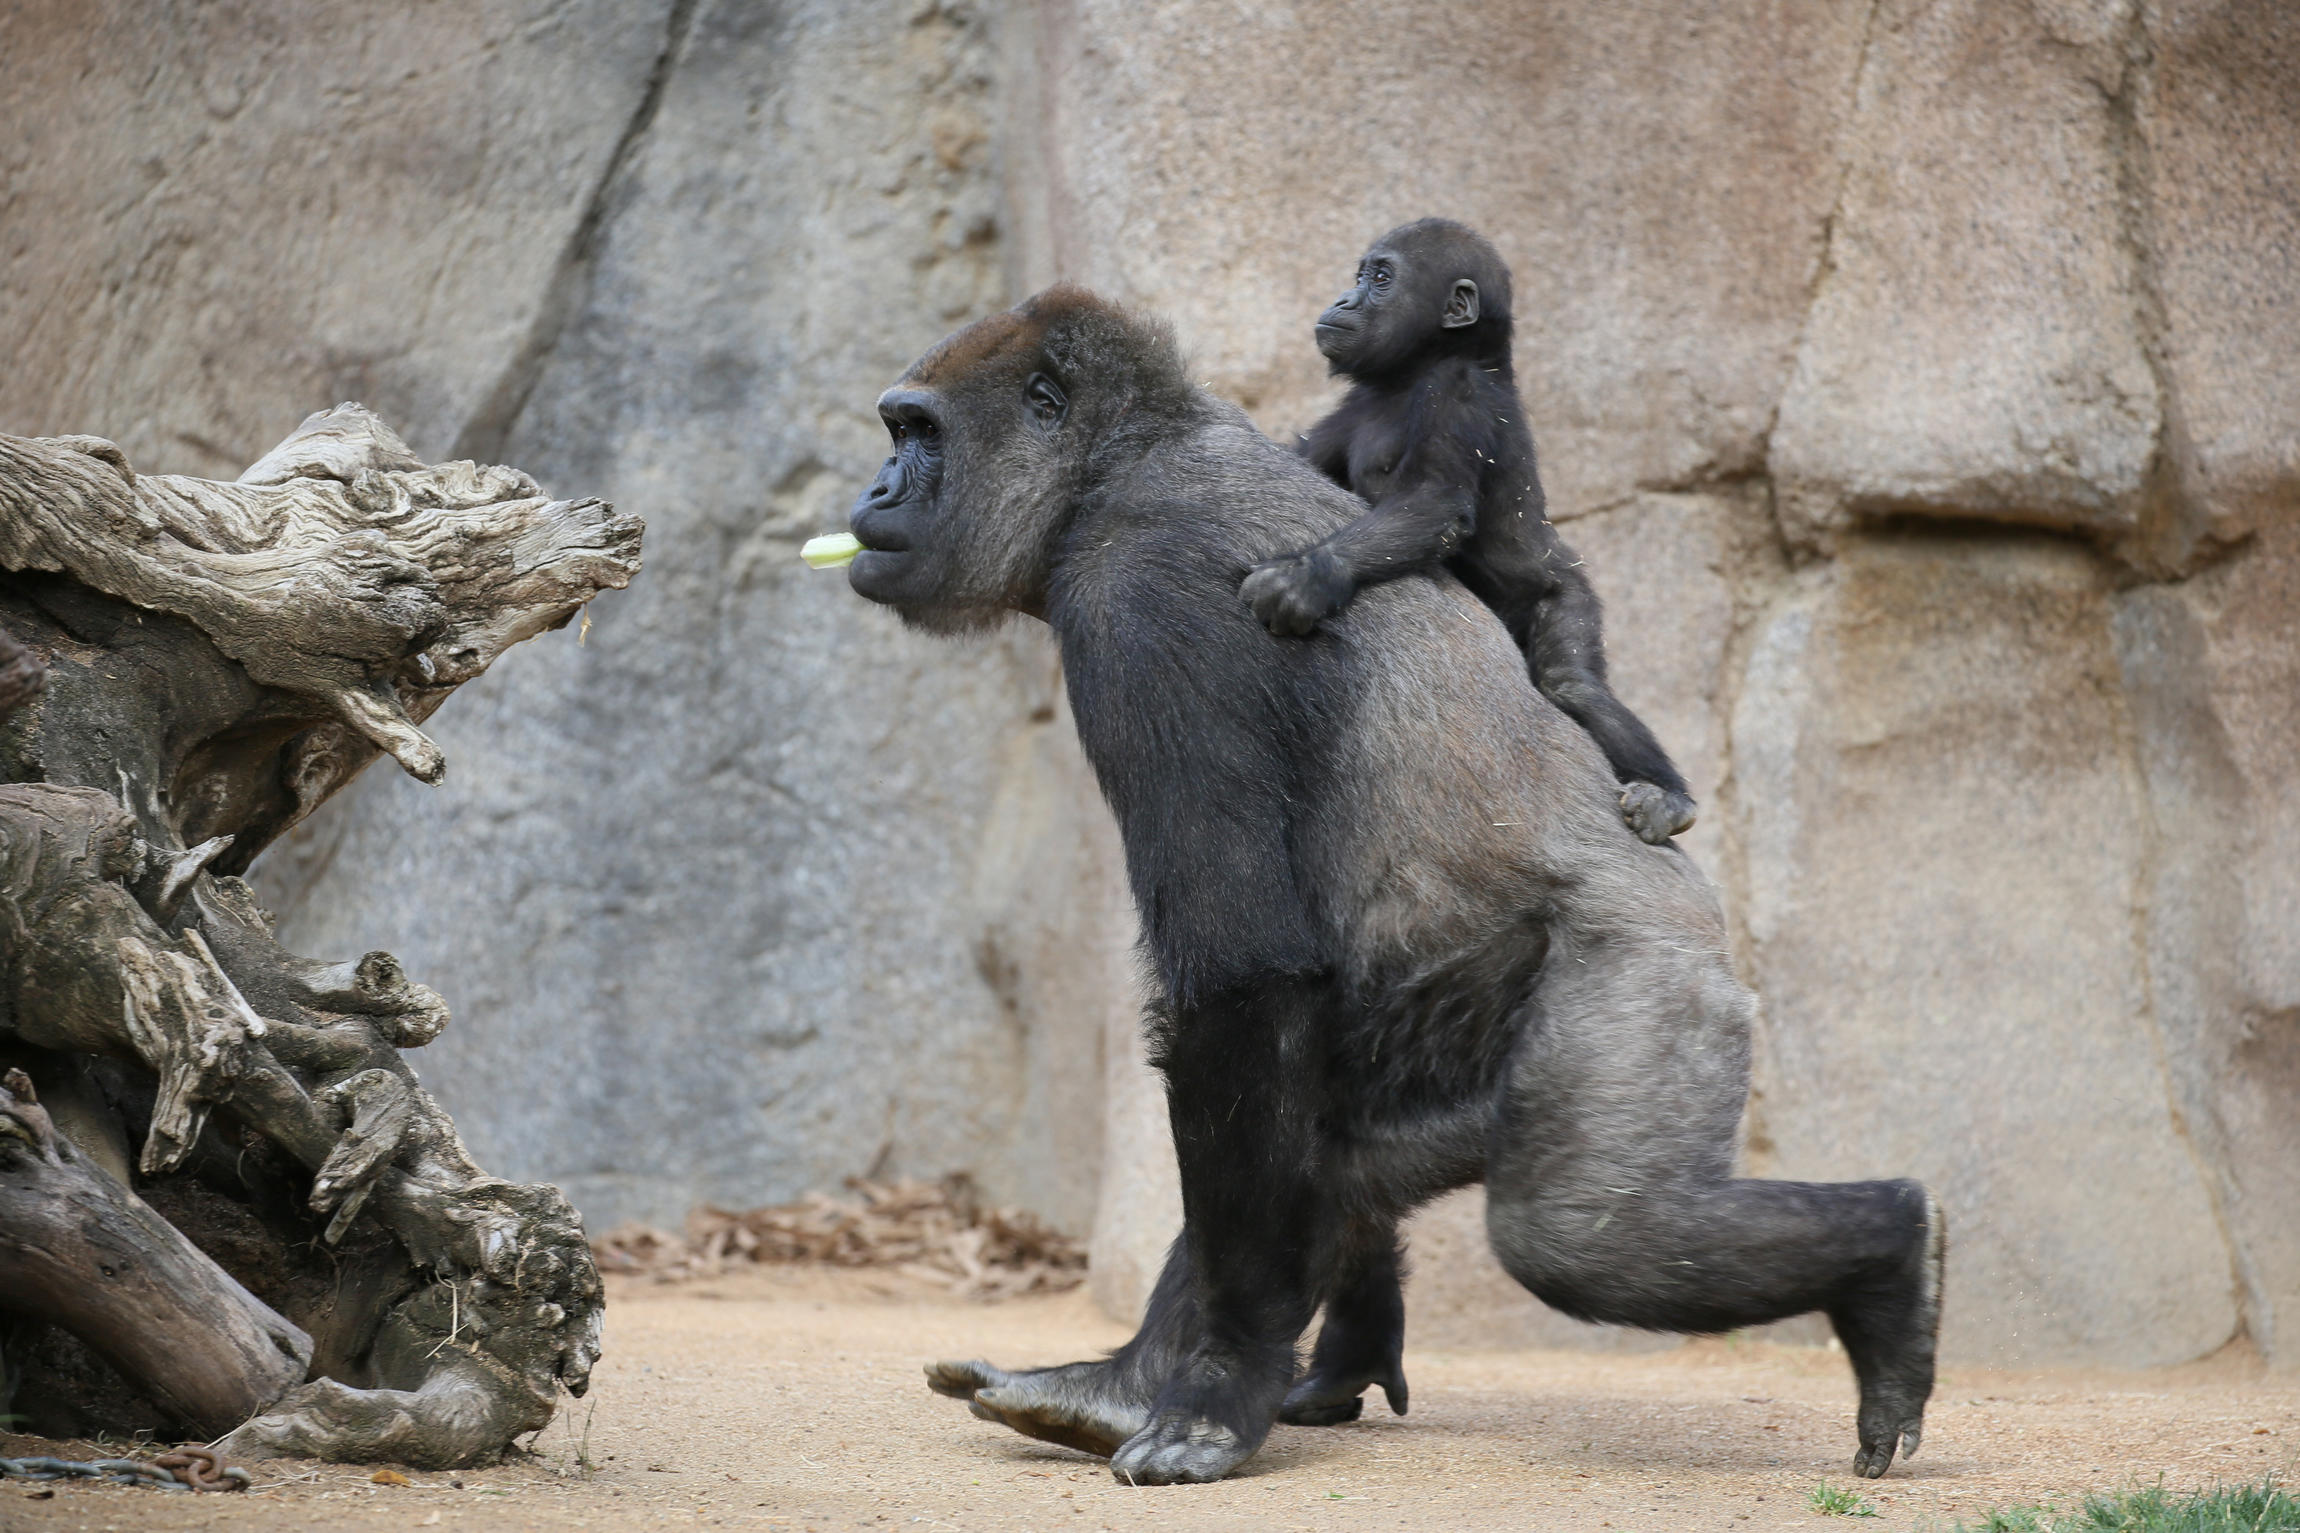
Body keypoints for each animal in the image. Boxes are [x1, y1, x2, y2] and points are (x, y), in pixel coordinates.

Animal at [846, 284, 1941, 1489]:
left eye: (917, 432)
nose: (874, 490)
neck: (1112, 470)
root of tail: (1709, 929)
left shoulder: (1140, 606)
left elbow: (1241, 979)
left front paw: (1218, 1388)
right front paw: (1191, 1371)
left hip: (1658, 973)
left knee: (1577, 1231)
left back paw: (1890, 1258)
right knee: (1350, 1152)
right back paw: (1141, 1377)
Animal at [1251, 216, 1702, 845]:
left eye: (1381, 279)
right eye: (1360, 276)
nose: (1343, 299)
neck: (1428, 360)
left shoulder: (1457, 391)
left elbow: (1437, 501)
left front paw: (1311, 576)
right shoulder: (1356, 404)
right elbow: (1300, 458)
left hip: (1568, 587)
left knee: (1572, 685)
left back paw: (1669, 796)